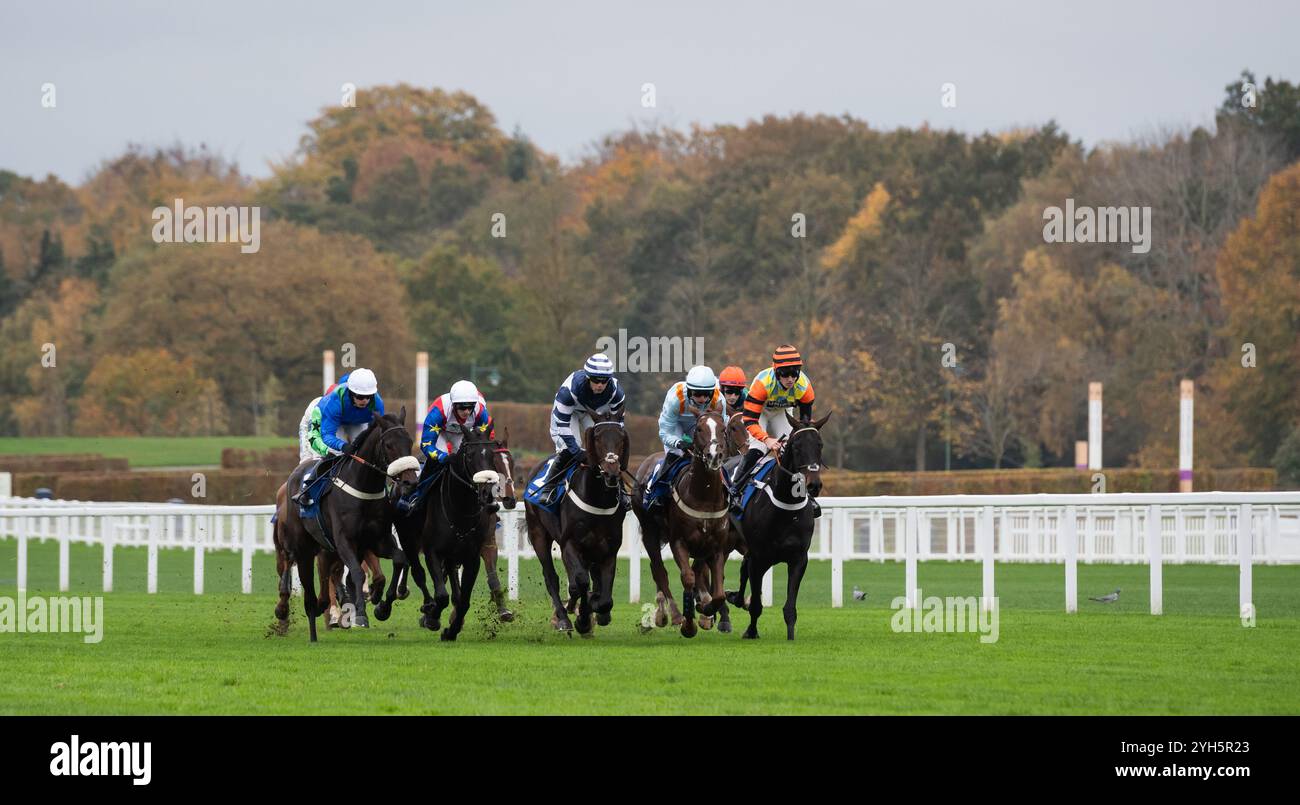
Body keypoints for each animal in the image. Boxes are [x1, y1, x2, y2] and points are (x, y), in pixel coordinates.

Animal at [273, 408, 416, 642]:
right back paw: (289, 614)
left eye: (410, 441)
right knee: (291, 567)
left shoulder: (379, 540)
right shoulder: (344, 541)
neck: (364, 488)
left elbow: (400, 560)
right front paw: (360, 612)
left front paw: (384, 605)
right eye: (388, 445)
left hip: (325, 549)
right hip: (297, 543)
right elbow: (357, 573)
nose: (410, 481)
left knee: (325, 579)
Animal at [525, 416, 631, 637]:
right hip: (538, 532)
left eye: (621, 439)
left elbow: (604, 597)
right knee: (552, 578)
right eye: (597, 439)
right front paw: (582, 618)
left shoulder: (609, 549)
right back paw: (563, 618)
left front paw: (596, 610)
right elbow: (580, 581)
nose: (611, 473)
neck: (598, 500)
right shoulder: (570, 544)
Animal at [637, 413, 738, 639]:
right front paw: (688, 624)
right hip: (649, 532)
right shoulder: (679, 542)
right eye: (699, 429)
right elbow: (688, 578)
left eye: (723, 429)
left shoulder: (715, 546)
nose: (714, 455)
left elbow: (718, 592)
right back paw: (673, 615)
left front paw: (705, 609)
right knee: (659, 570)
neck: (704, 497)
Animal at [728, 413, 826, 639]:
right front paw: (751, 631)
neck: (786, 506)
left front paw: (790, 637)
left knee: (743, 568)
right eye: (796, 446)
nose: (813, 485)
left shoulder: (799, 558)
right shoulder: (759, 558)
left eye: (820, 445)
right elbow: (756, 604)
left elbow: (790, 608)